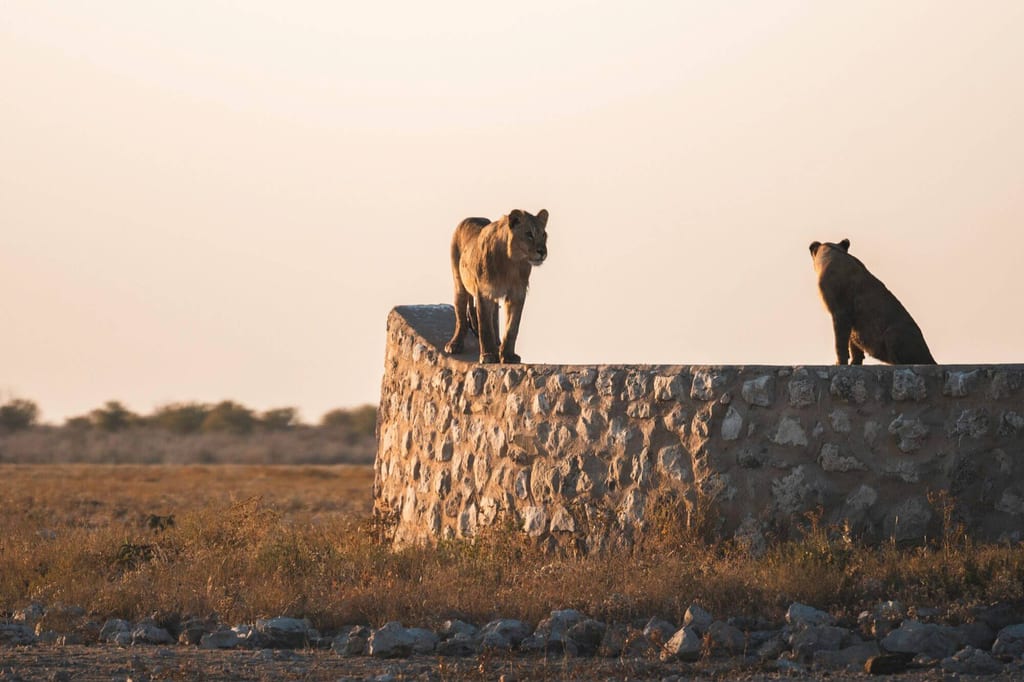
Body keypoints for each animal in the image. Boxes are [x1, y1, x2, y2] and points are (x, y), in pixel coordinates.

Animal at [444, 209, 549, 364]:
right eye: (529, 234)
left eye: (543, 235)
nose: (542, 252)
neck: (512, 262)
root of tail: (471, 218)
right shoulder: (484, 291)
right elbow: (485, 326)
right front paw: (488, 355)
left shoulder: (517, 294)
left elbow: (512, 328)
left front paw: (508, 355)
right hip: (459, 284)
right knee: (461, 316)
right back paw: (455, 344)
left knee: (493, 317)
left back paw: (497, 344)